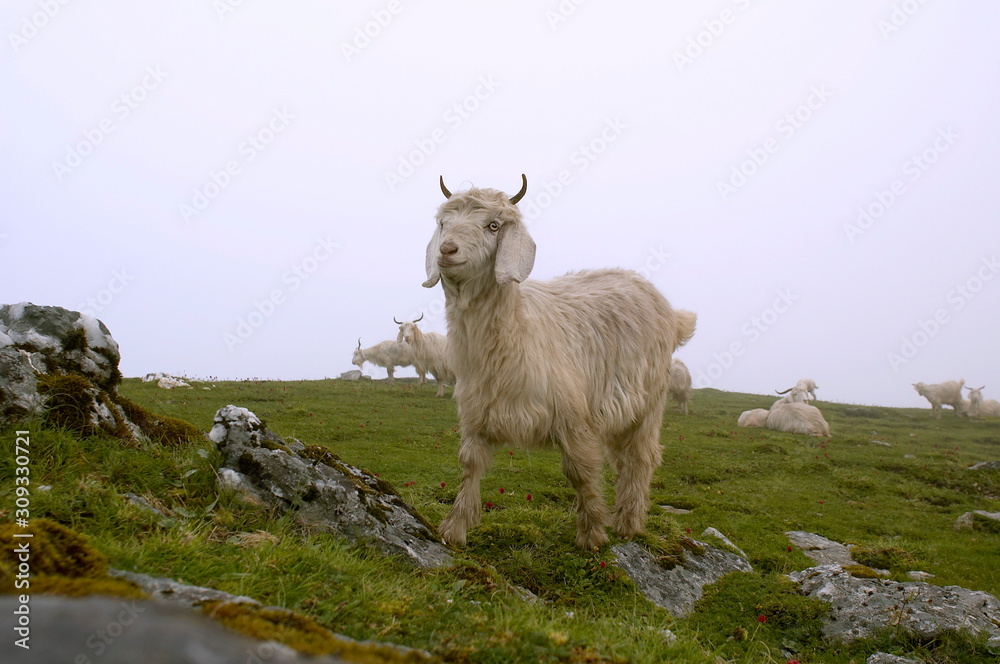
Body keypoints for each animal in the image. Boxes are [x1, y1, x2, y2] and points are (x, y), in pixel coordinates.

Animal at [423, 174, 697, 550]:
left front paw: (592, 534)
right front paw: (454, 528)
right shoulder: (477, 414)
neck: (516, 333)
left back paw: (628, 523)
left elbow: (580, 472)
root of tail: (670, 310)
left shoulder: (574, 416)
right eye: (442, 223)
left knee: (642, 456)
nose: (447, 250)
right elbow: (470, 465)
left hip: (650, 401)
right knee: (623, 457)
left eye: (493, 226)